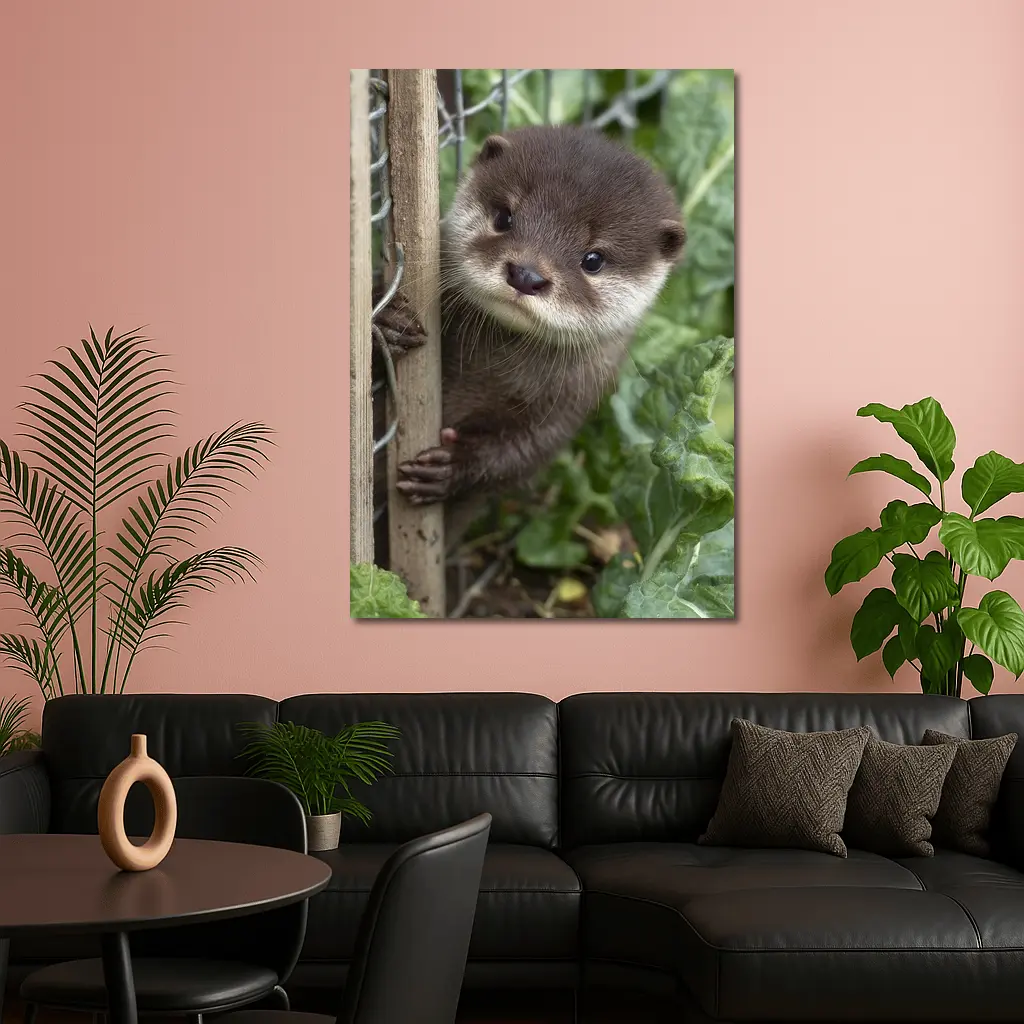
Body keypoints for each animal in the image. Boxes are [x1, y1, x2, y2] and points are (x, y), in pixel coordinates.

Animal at [373, 124, 685, 524]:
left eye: (594, 259)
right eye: (504, 217)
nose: (525, 274)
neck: (488, 373)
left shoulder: (567, 407)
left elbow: (520, 457)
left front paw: (451, 467)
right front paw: (388, 322)